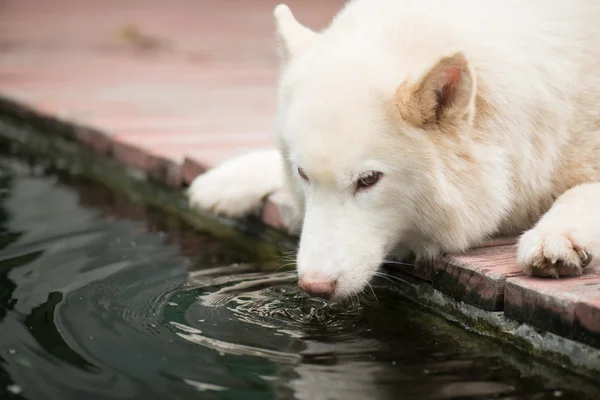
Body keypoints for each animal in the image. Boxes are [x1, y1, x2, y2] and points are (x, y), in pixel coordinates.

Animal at [190, 0, 600, 300]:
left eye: (369, 180)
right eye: (302, 175)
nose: (314, 287)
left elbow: (582, 191)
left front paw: (557, 237)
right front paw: (225, 181)